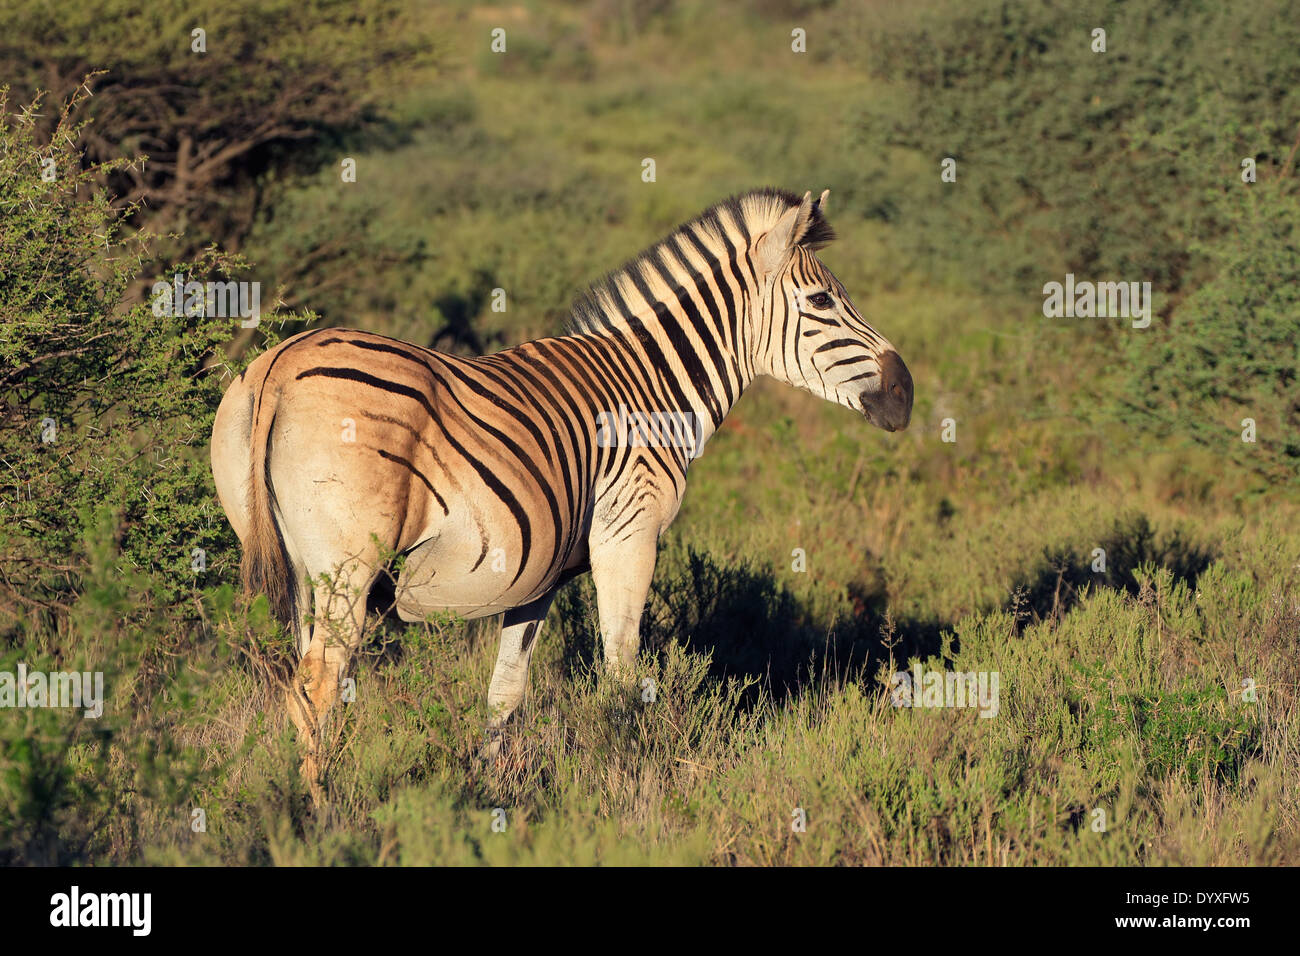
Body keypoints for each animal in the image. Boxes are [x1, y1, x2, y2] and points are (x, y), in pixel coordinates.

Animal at [208, 187, 909, 780]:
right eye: (820, 304)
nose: (905, 393)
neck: (651, 387)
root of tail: (280, 363)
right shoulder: (628, 534)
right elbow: (622, 668)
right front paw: (627, 773)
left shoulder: (536, 573)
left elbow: (506, 690)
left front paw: (489, 788)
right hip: (349, 568)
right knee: (316, 688)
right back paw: (318, 810)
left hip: (301, 567)